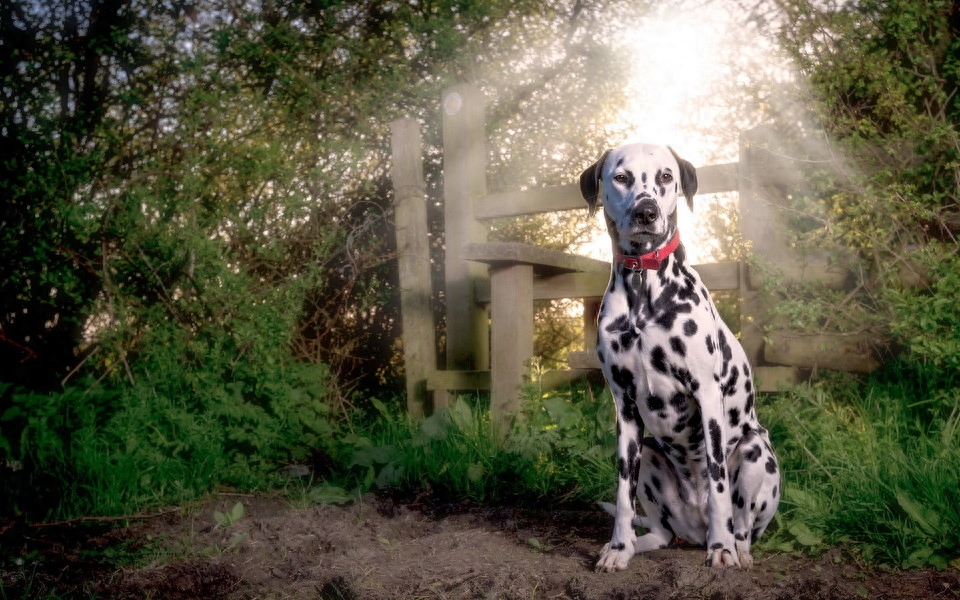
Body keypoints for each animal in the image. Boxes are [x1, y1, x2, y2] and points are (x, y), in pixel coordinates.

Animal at [576, 144, 780, 572]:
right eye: (621, 177)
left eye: (666, 176)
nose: (646, 212)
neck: (644, 287)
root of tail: (694, 529)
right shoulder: (625, 409)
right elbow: (622, 494)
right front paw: (618, 548)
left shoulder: (707, 396)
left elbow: (718, 483)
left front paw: (721, 549)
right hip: (651, 454)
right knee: (662, 533)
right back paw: (638, 544)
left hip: (756, 451)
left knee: (743, 524)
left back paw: (734, 547)